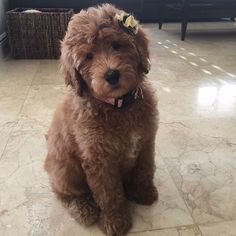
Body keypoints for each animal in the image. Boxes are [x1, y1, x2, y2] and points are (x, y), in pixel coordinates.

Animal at [44, 3, 159, 236]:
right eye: (88, 56)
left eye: (116, 45)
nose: (111, 75)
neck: (119, 107)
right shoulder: (99, 159)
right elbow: (109, 194)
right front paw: (115, 221)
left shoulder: (146, 142)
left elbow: (145, 169)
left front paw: (144, 193)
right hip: (65, 170)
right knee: (62, 192)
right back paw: (84, 209)